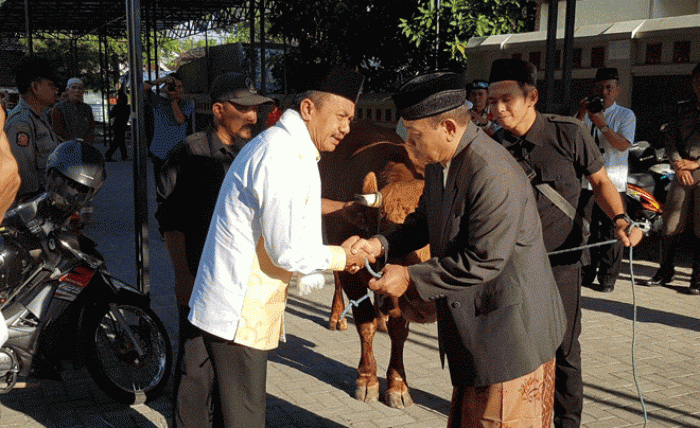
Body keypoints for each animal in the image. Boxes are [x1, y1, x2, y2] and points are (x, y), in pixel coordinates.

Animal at [320, 119, 434, 408]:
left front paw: (398, 385)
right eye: (393, 234)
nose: (427, 305)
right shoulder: (353, 273)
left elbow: (399, 330)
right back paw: (337, 316)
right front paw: (367, 380)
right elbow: (365, 323)